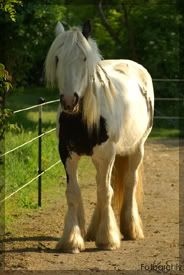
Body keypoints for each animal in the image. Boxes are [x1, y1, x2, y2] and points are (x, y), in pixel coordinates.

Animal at [45, 20, 154, 254]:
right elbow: (74, 192)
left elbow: (106, 191)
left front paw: (107, 240)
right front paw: (72, 240)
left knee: (129, 182)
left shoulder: (105, 154)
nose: (69, 101)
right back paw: (94, 230)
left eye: (84, 58)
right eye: (57, 58)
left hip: (136, 149)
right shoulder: (67, 154)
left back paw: (130, 229)